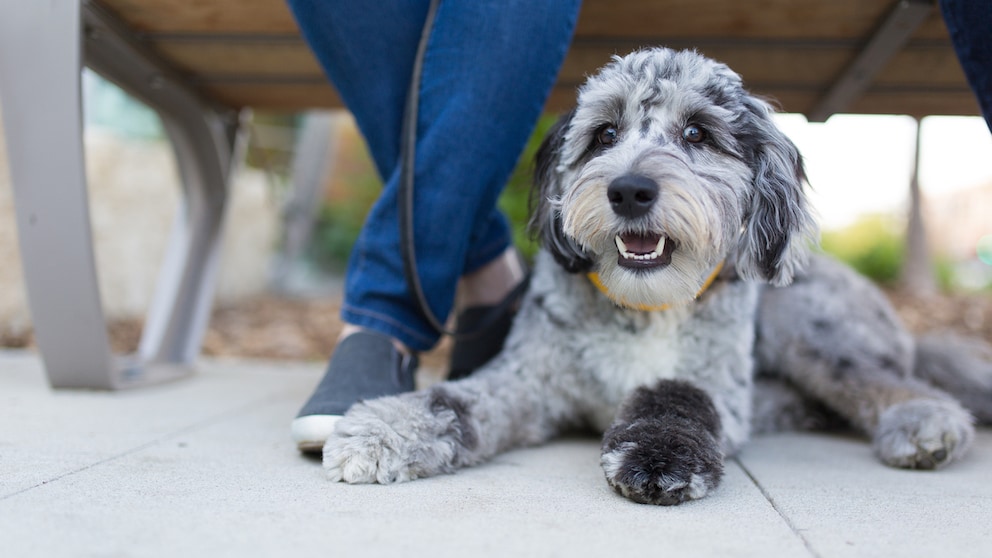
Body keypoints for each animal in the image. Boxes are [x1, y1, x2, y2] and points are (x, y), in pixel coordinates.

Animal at [322, 46, 988, 506]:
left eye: (696, 132)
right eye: (604, 134)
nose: (629, 189)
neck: (644, 306)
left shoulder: (714, 381)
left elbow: (677, 396)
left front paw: (658, 457)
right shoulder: (529, 382)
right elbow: (453, 399)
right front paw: (383, 431)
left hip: (808, 327)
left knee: (894, 383)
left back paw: (926, 424)